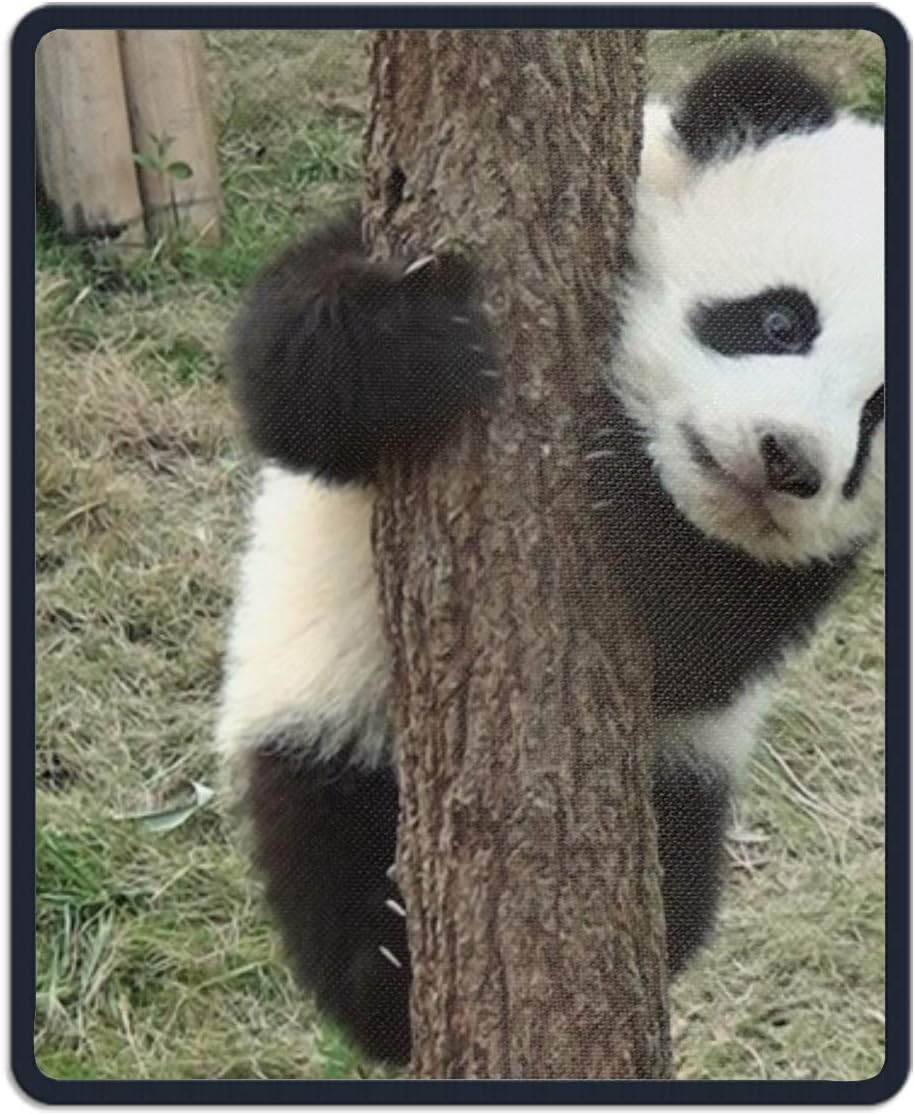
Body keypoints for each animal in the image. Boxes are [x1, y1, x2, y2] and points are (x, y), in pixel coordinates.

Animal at [216, 49, 884, 1065]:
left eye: (884, 413)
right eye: (779, 321)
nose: (789, 461)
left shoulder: (817, 567)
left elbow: (712, 637)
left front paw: (631, 503)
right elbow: (289, 366)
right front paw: (415, 345)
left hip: (680, 780)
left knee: (683, 871)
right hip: (318, 706)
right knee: (324, 839)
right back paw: (385, 964)